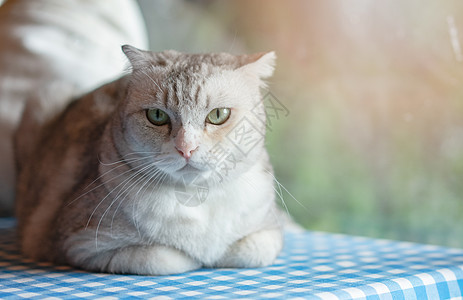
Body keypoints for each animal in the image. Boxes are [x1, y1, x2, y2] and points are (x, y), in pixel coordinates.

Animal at [15, 45, 282, 276]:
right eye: (157, 116)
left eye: (218, 115)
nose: (186, 149)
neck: (195, 198)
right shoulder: (80, 245)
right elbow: (163, 258)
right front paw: (196, 258)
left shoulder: (269, 231)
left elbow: (254, 251)